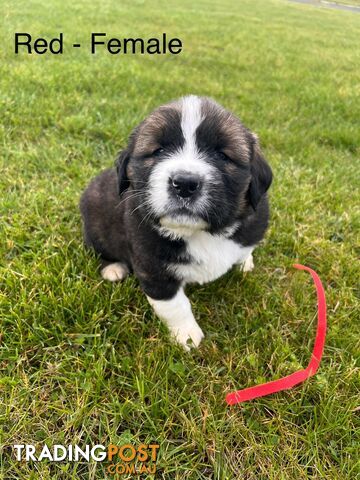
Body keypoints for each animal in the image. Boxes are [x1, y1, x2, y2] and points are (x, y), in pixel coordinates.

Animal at [80, 95, 272, 350]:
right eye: (158, 151)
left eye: (222, 155)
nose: (185, 184)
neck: (201, 233)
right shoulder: (154, 270)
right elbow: (175, 305)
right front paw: (187, 336)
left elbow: (245, 249)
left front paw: (244, 263)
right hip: (95, 223)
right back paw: (113, 268)